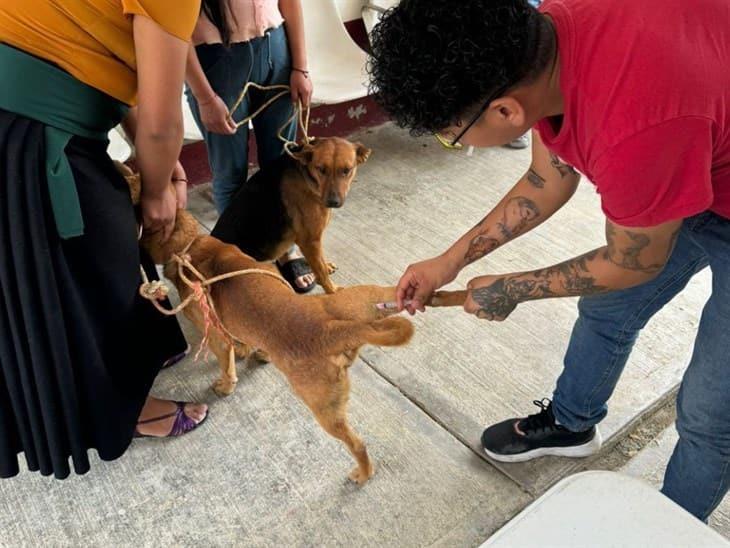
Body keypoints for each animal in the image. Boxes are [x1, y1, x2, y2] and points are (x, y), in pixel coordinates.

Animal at [119, 165, 410, 486]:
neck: (188, 247)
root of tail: (332, 330)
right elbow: (244, 340)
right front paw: (254, 352)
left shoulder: (215, 333)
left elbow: (226, 362)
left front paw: (226, 382)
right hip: (365, 299)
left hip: (323, 407)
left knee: (357, 444)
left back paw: (363, 472)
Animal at [210, 136, 370, 294]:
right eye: (321, 169)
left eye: (347, 170)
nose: (333, 202)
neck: (306, 174)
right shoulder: (310, 241)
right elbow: (321, 272)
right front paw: (333, 290)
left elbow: (321, 263)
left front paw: (327, 266)